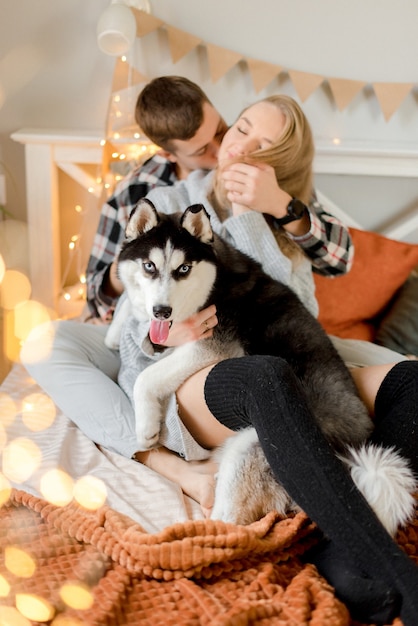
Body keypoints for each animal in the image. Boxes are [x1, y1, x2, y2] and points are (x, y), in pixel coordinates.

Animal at [106, 199, 416, 532]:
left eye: (184, 269)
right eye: (149, 266)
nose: (162, 311)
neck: (215, 279)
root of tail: (350, 456)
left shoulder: (214, 343)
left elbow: (147, 376)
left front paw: (146, 427)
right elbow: (128, 304)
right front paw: (115, 330)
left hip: (257, 448)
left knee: (232, 523)